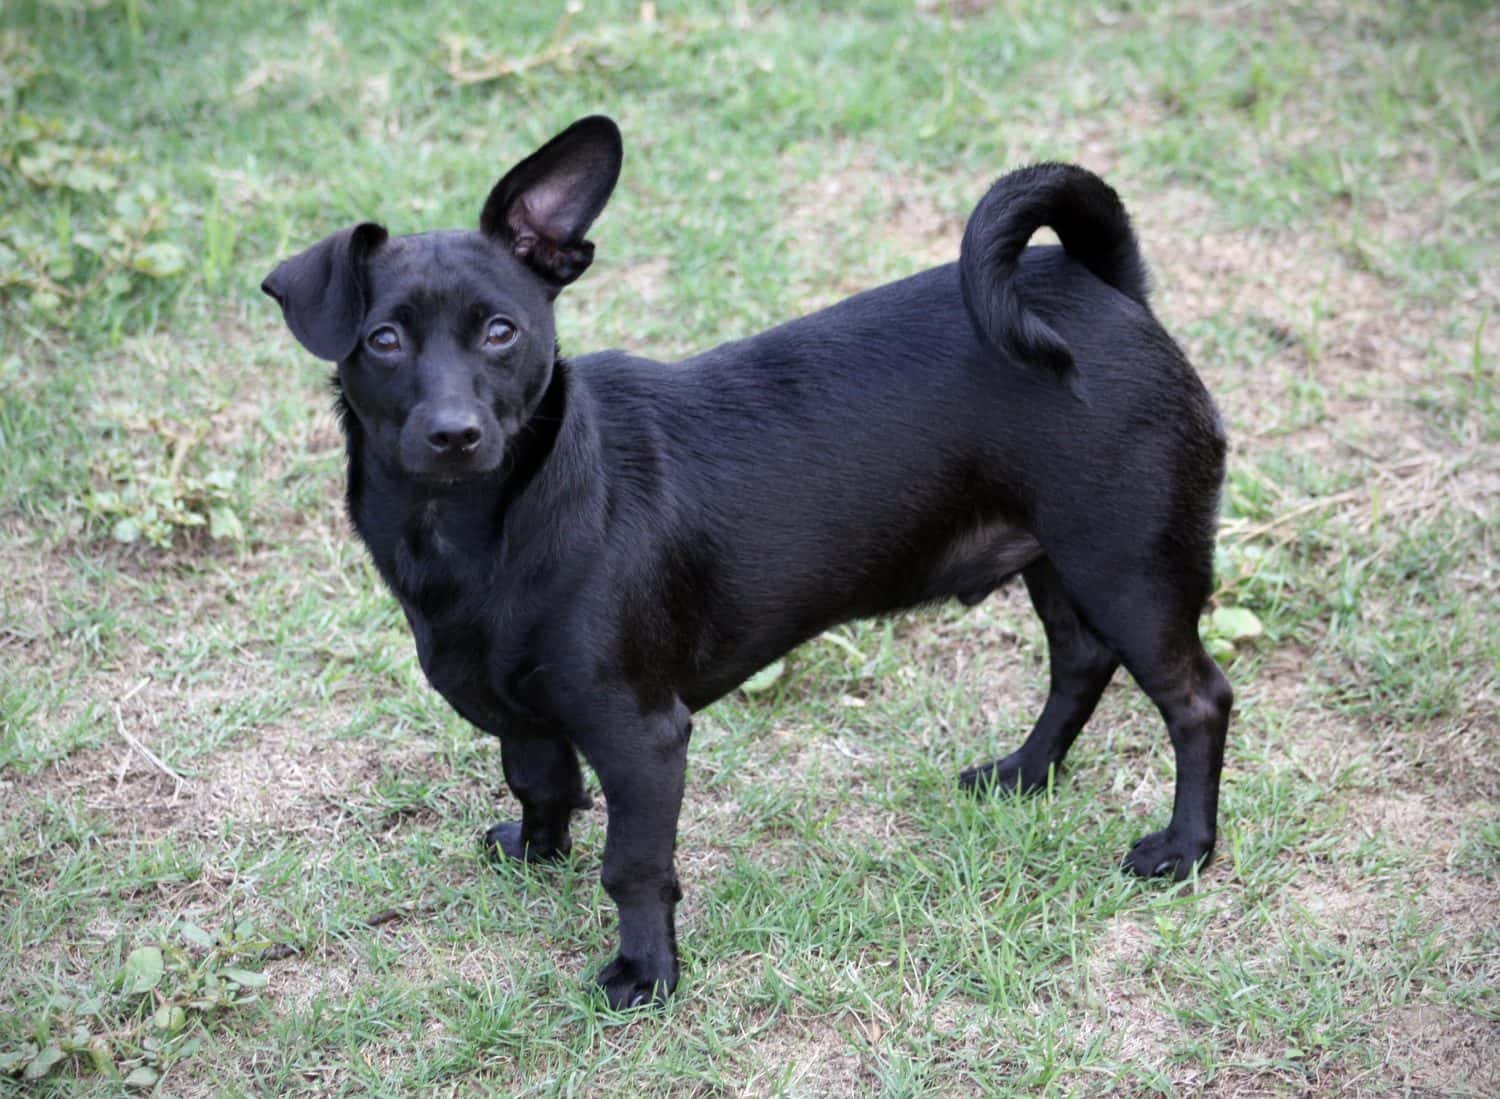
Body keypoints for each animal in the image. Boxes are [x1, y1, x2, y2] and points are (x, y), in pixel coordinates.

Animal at [264, 115, 1236, 1007]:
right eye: (384, 340)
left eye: (501, 332)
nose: (454, 433)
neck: (479, 526)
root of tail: (1107, 287)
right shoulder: (524, 712)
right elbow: (540, 780)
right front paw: (538, 850)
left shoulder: (641, 736)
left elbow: (634, 865)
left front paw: (646, 971)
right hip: (1062, 561)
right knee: (1080, 661)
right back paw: (1025, 773)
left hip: (1130, 567)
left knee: (1197, 700)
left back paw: (1184, 848)